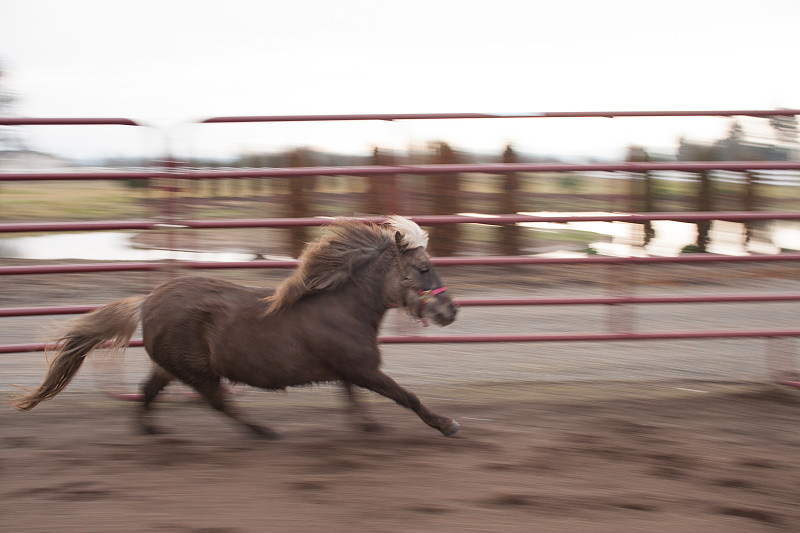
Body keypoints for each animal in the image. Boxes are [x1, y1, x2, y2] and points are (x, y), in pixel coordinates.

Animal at [12, 216, 460, 436]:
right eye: (423, 268)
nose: (450, 312)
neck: (340, 307)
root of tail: (147, 302)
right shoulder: (363, 369)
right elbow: (406, 396)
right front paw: (447, 425)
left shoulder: (349, 370)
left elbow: (354, 399)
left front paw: (368, 426)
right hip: (196, 371)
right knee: (218, 402)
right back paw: (264, 431)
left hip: (172, 367)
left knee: (149, 391)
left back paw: (151, 431)